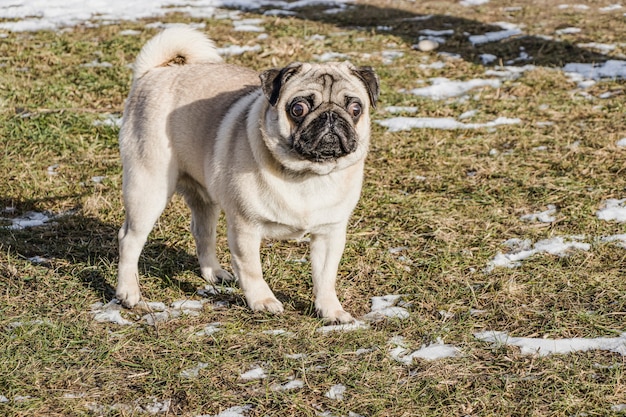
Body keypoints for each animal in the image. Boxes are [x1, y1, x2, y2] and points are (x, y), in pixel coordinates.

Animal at [115, 27, 378, 324]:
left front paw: (331, 310)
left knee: (203, 232)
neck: (307, 174)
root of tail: (153, 72)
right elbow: (252, 270)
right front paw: (262, 301)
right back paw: (128, 293)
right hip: (148, 189)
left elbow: (325, 277)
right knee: (129, 240)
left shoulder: (330, 234)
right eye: (298, 109)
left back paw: (214, 273)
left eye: (356, 109)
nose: (331, 117)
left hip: (204, 198)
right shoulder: (246, 227)